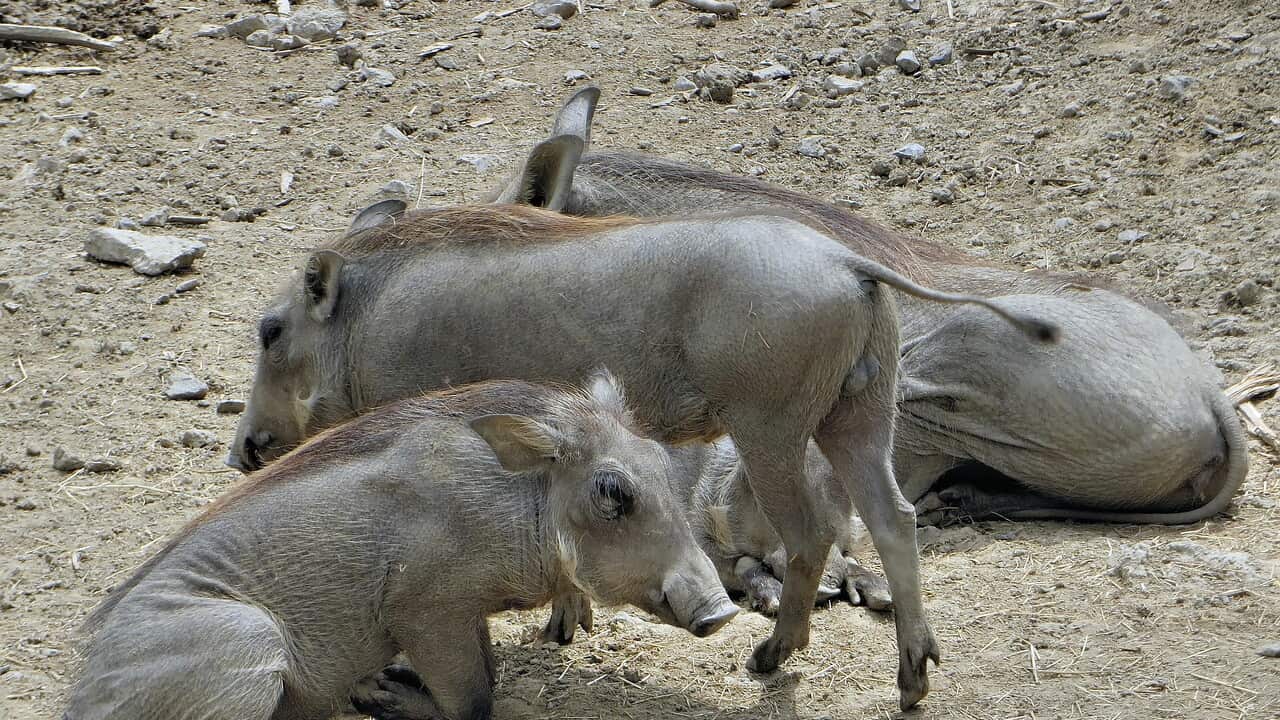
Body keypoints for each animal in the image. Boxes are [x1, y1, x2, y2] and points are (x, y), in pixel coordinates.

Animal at [64, 375, 738, 720]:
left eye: (660, 463)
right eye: (613, 491)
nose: (722, 611)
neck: (516, 499)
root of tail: (80, 698)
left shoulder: (462, 612)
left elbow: (486, 676)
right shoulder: (427, 612)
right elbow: (472, 699)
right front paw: (404, 700)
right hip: (245, 641)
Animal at [228, 203, 1057, 708]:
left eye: (271, 330)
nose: (242, 455)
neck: (361, 324)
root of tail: (848, 260)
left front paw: (558, 628)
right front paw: (568, 624)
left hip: (770, 428)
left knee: (812, 534)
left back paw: (770, 658)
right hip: (859, 414)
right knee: (894, 519)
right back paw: (913, 679)